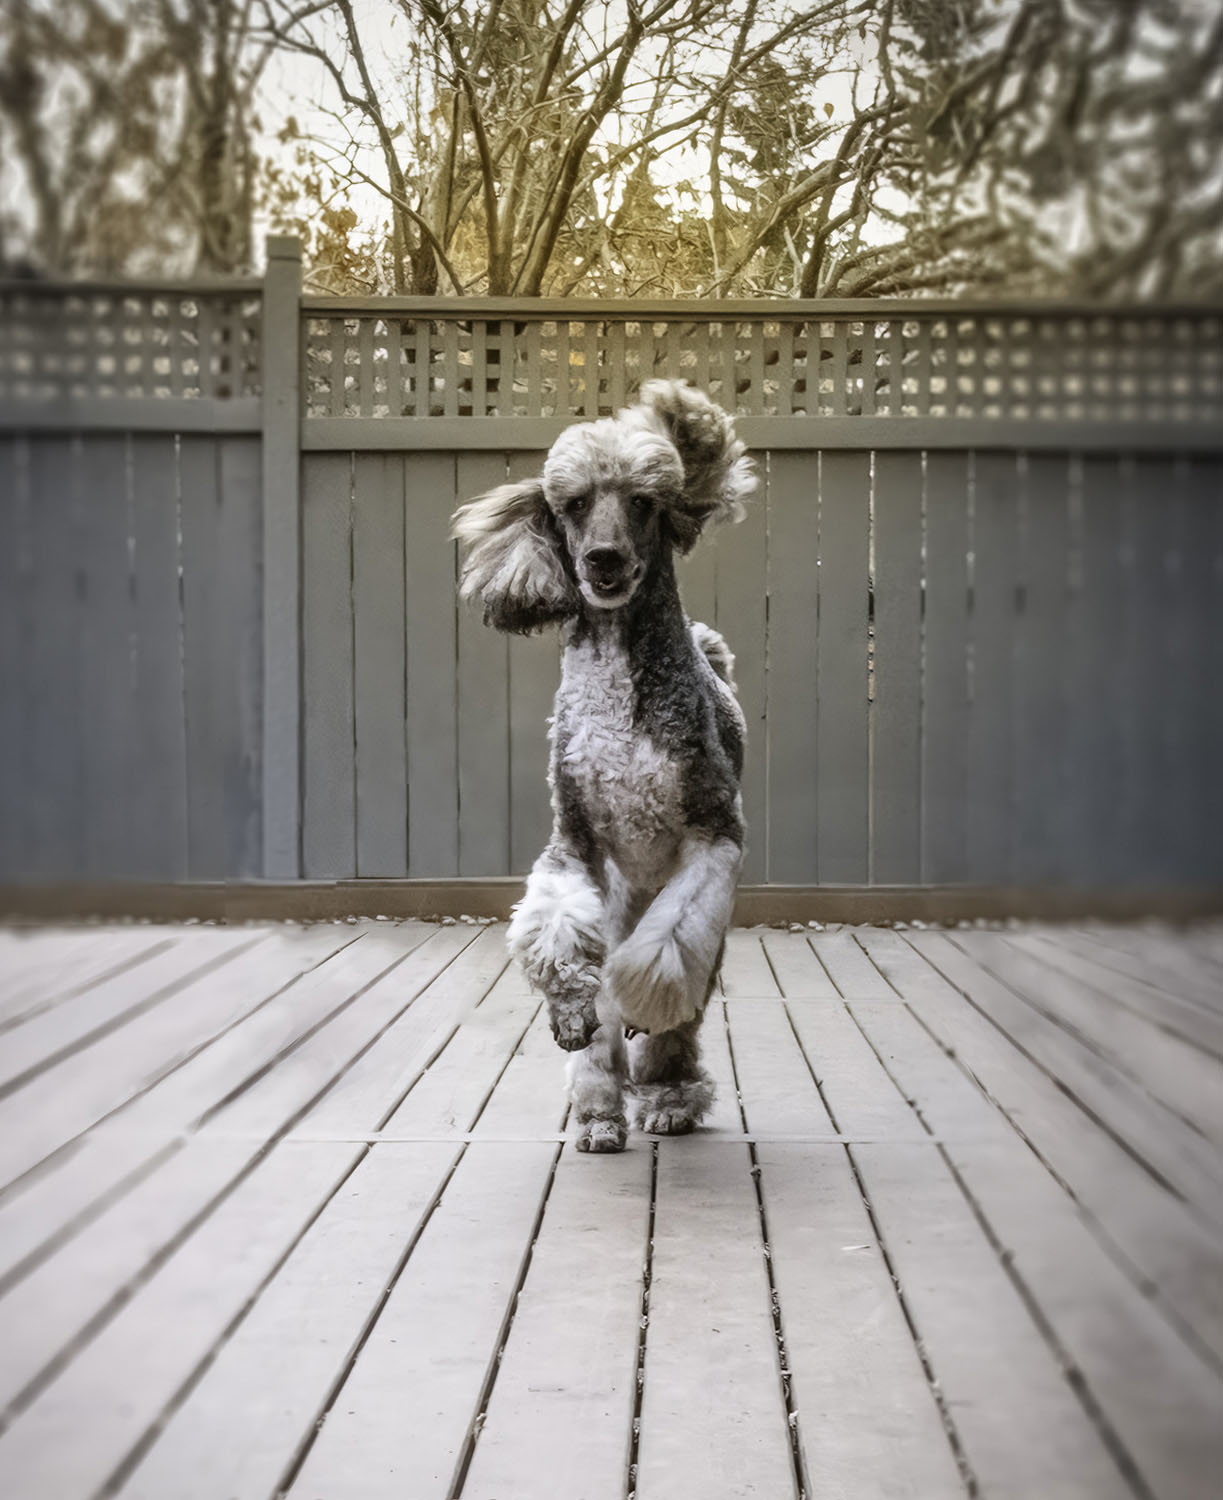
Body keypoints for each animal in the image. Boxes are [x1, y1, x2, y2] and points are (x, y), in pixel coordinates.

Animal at [451, 380, 754, 1152]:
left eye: (643, 503)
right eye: (575, 504)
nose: (604, 561)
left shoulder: (714, 838)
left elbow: (665, 953)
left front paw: (644, 1010)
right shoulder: (575, 842)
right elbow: (554, 927)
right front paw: (567, 1009)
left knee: (677, 1009)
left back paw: (668, 1099)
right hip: (613, 901)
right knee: (600, 1033)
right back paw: (597, 1113)